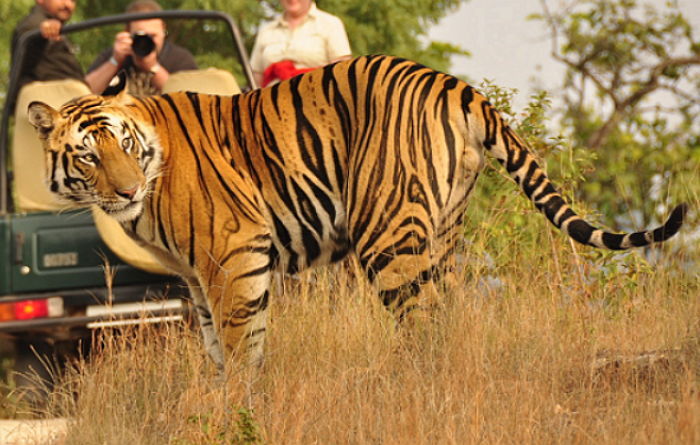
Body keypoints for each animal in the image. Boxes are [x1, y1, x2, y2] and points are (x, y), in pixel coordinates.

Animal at [27, 54, 684, 368]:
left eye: (123, 144)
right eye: (88, 156)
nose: (126, 190)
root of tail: (456, 84)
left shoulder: (233, 256)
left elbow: (241, 348)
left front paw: (239, 409)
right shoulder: (196, 277)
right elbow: (218, 347)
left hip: (387, 234)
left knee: (421, 324)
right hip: (442, 233)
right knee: (448, 316)